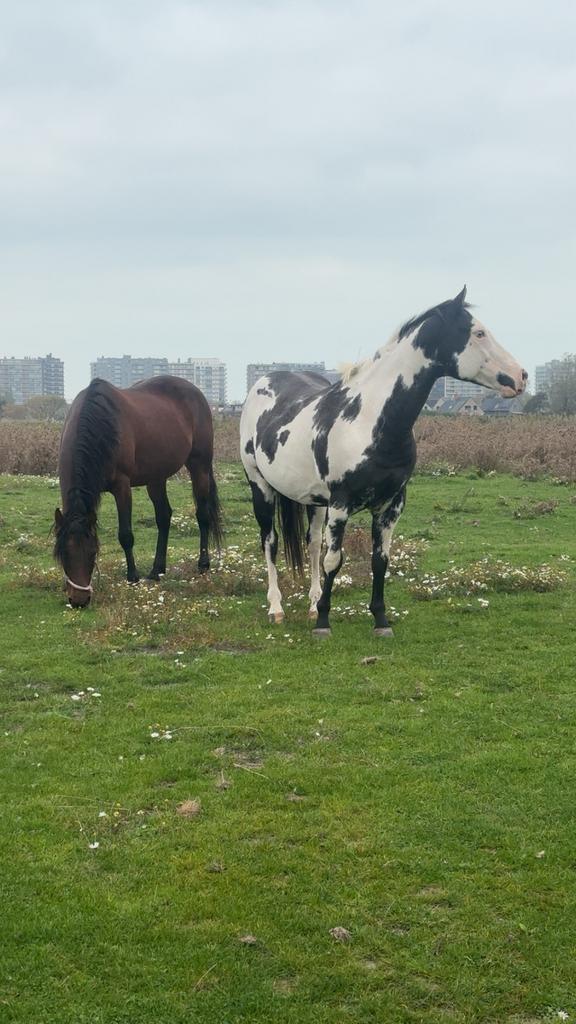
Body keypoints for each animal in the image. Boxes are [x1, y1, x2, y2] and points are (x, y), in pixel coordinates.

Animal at [54, 375, 223, 607]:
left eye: (92, 552)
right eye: (63, 553)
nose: (79, 600)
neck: (101, 425)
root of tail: (196, 392)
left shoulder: (122, 486)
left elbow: (125, 535)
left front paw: (132, 577)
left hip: (200, 466)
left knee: (203, 515)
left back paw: (203, 564)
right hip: (156, 477)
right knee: (164, 517)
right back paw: (156, 570)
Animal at [240, 287, 527, 637]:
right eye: (479, 333)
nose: (521, 376)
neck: (369, 420)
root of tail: (263, 382)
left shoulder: (390, 505)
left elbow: (380, 561)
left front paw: (380, 620)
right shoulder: (341, 504)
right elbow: (334, 560)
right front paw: (324, 623)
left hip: (314, 501)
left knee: (311, 544)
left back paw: (311, 604)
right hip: (261, 486)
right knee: (270, 542)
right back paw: (277, 608)